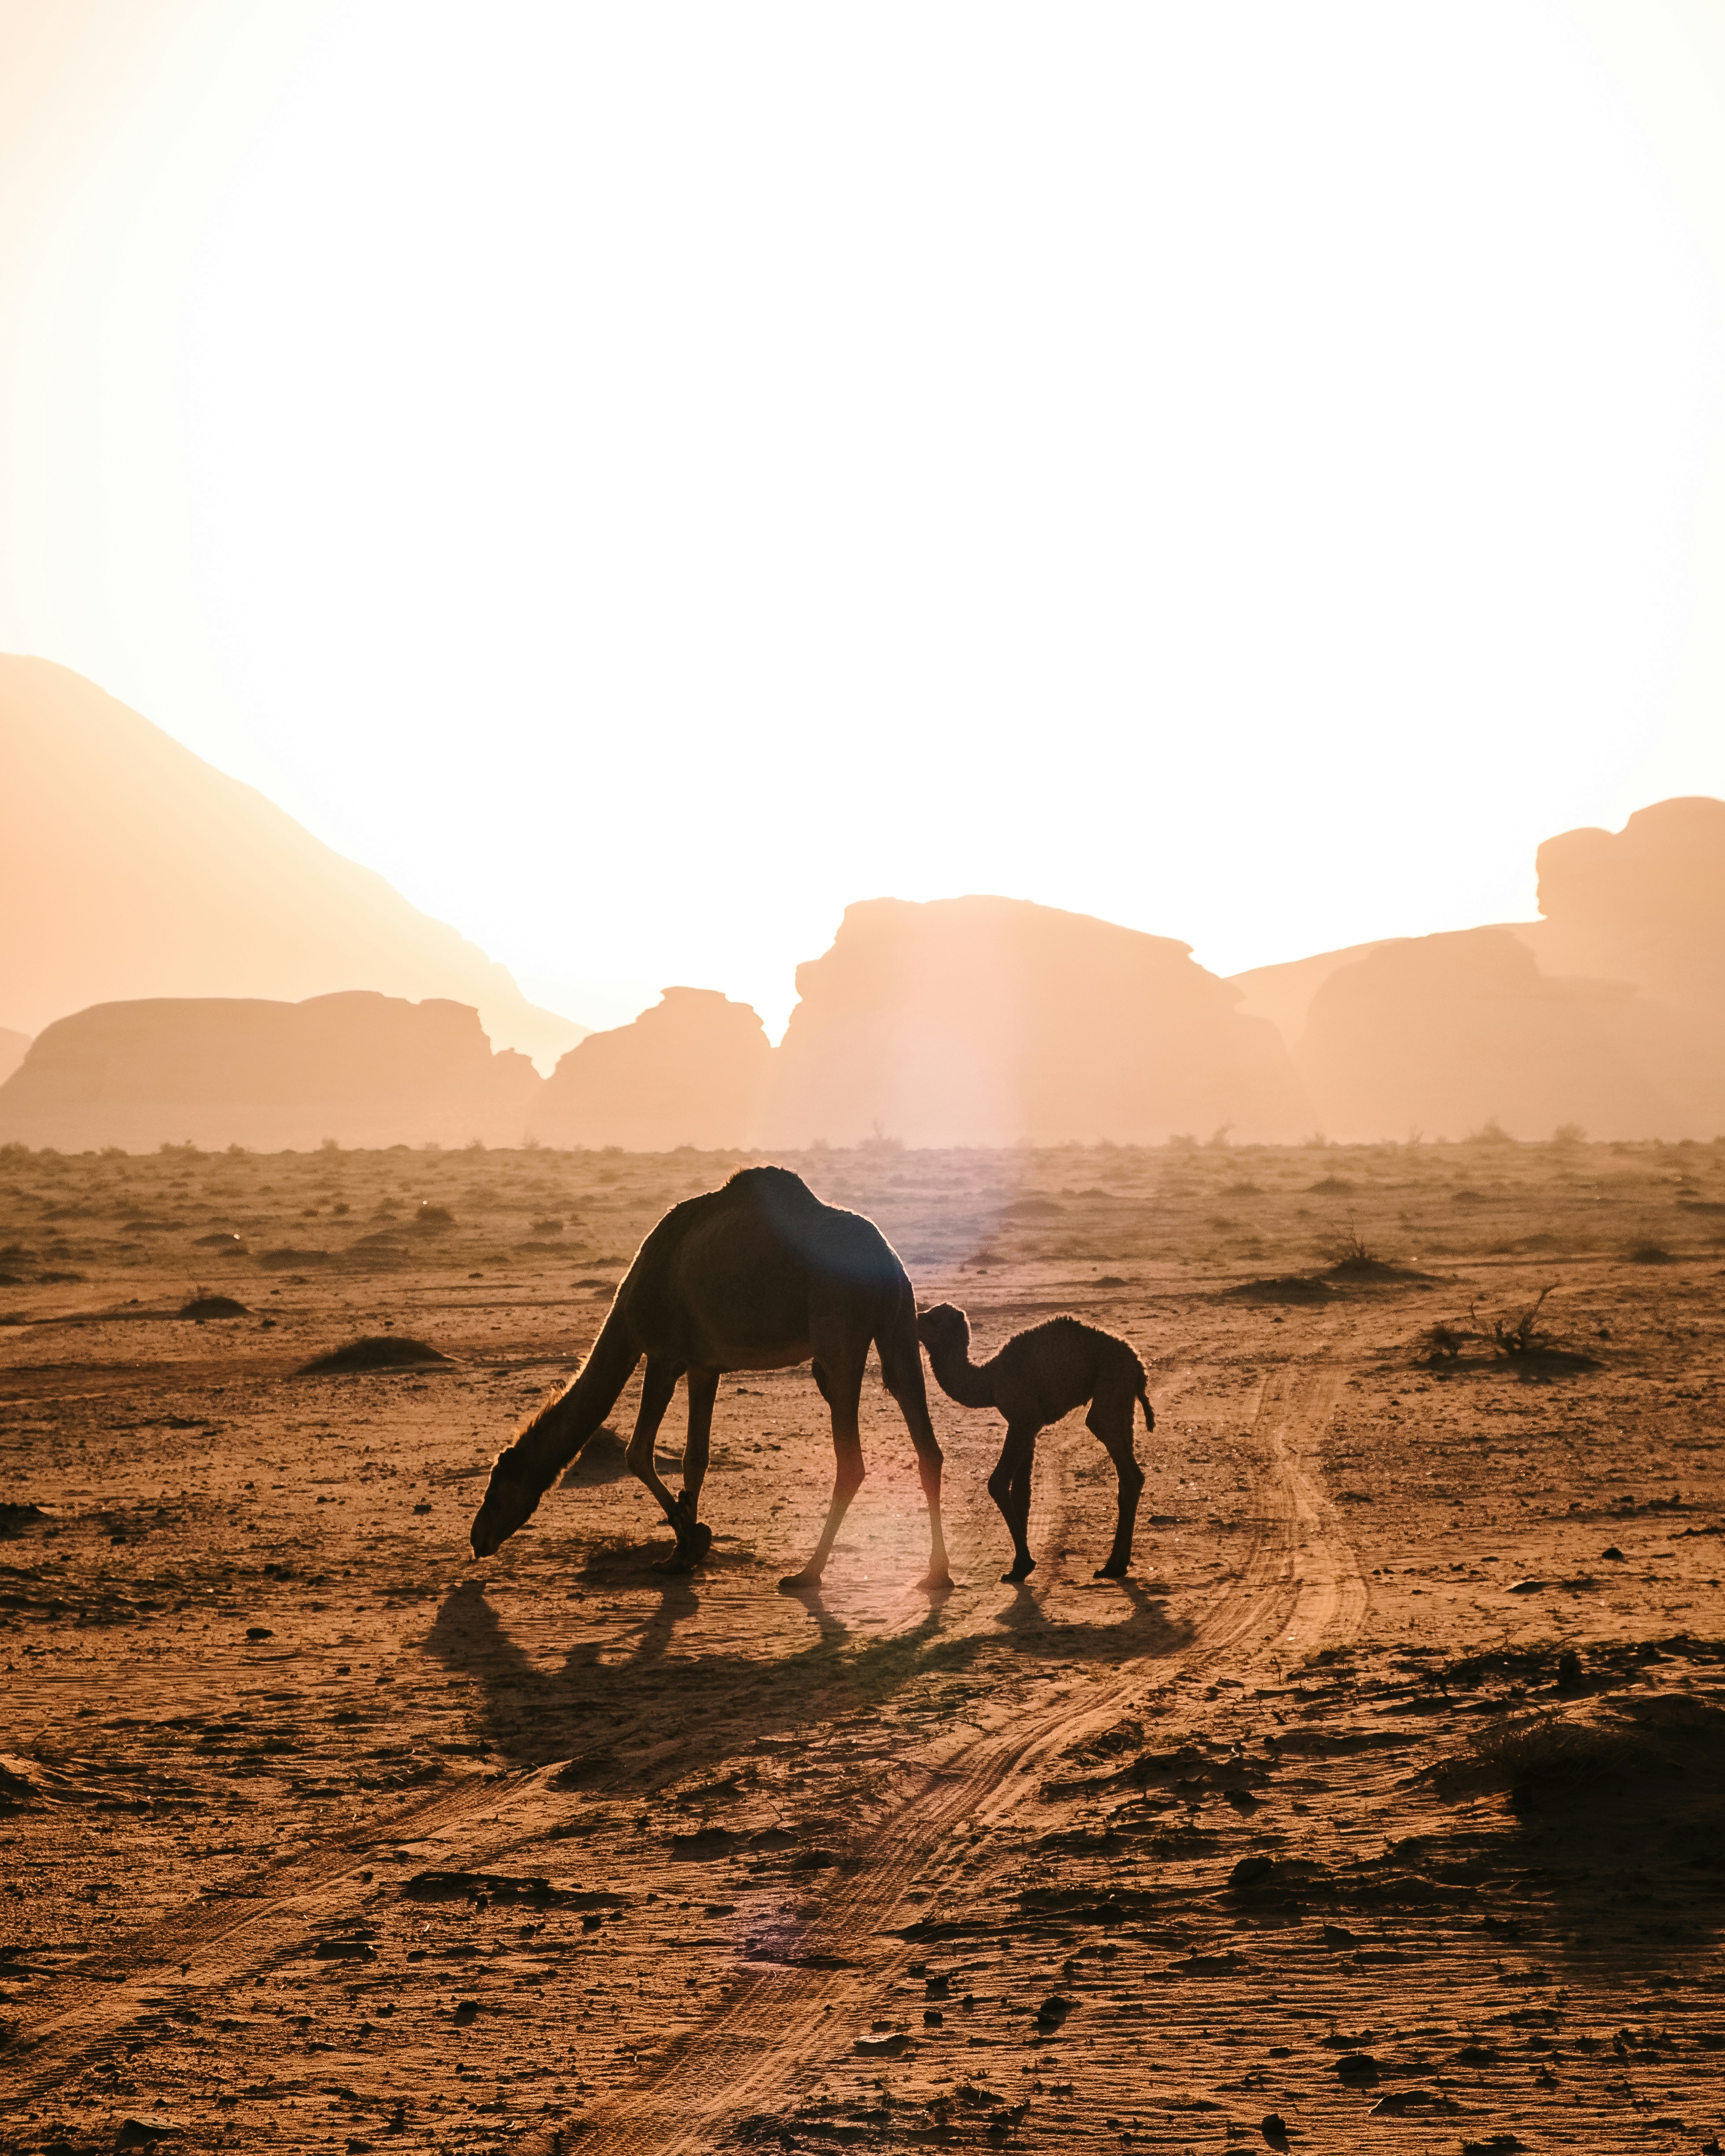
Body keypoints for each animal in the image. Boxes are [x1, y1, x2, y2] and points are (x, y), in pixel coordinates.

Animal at [470, 1166, 951, 1591]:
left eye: (495, 1489)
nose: (477, 1539)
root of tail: (886, 1258)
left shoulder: (664, 1354)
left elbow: (637, 1452)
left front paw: (688, 1538)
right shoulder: (705, 1366)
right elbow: (695, 1457)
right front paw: (684, 1550)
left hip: (839, 1330)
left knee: (851, 1459)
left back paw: (807, 1573)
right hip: (900, 1324)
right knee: (925, 1439)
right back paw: (937, 1573)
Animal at [915, 1303, 1151, 1582]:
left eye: (932, 1318)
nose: (914, 1320)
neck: (990, 1380)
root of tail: (1140, 1365)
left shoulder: (1024, 1419)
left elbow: (998, 1483)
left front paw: (1024, 1564)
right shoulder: (1026, 1427)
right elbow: (1022, 1492)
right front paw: (1018, 1567)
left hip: (1113, 1382)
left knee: (1107, 1435)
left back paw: (1112, 1566)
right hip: (1123, 1396)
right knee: (1129, 1474)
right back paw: (1118, 1564)